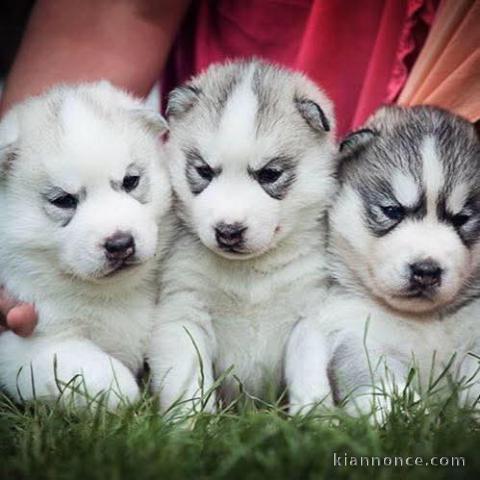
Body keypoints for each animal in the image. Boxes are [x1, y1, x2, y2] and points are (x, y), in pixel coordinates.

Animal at [0, 82, 172, 408]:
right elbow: (103, 375)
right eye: (63, 200)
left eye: (131, 181)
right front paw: (129, 400)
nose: (120, 243)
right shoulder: (30, 344)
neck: (112, 295)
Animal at [148, 60, 336, 412]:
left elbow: (310, 375)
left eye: (270, 174)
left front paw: (318, 417)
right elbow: (189, 379)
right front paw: (190, 421)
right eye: (204, 171)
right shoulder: (184, 311)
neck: (250, 274)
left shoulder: (309, 314)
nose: (228, 231)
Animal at [314, 106, 480, 416]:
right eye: (392, 211)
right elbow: (379, 382)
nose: (426, 270)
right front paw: (395, 414)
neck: (424, 319)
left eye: (462, 219)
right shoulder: (359, 335)